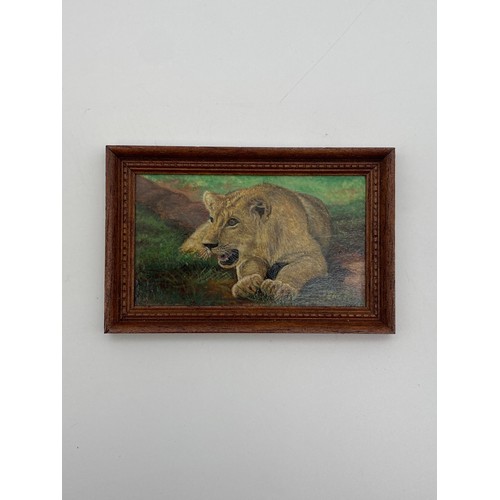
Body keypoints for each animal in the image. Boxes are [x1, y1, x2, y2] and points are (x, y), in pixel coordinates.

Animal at [180, 183, 333, 301]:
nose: (208, 245)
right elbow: (248, 267)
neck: (267, 243)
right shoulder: (249, 257)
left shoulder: (311, 255)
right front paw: (247, 284)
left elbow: (293, 269)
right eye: (212, 219)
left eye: (232, 222)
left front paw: (279, 287)